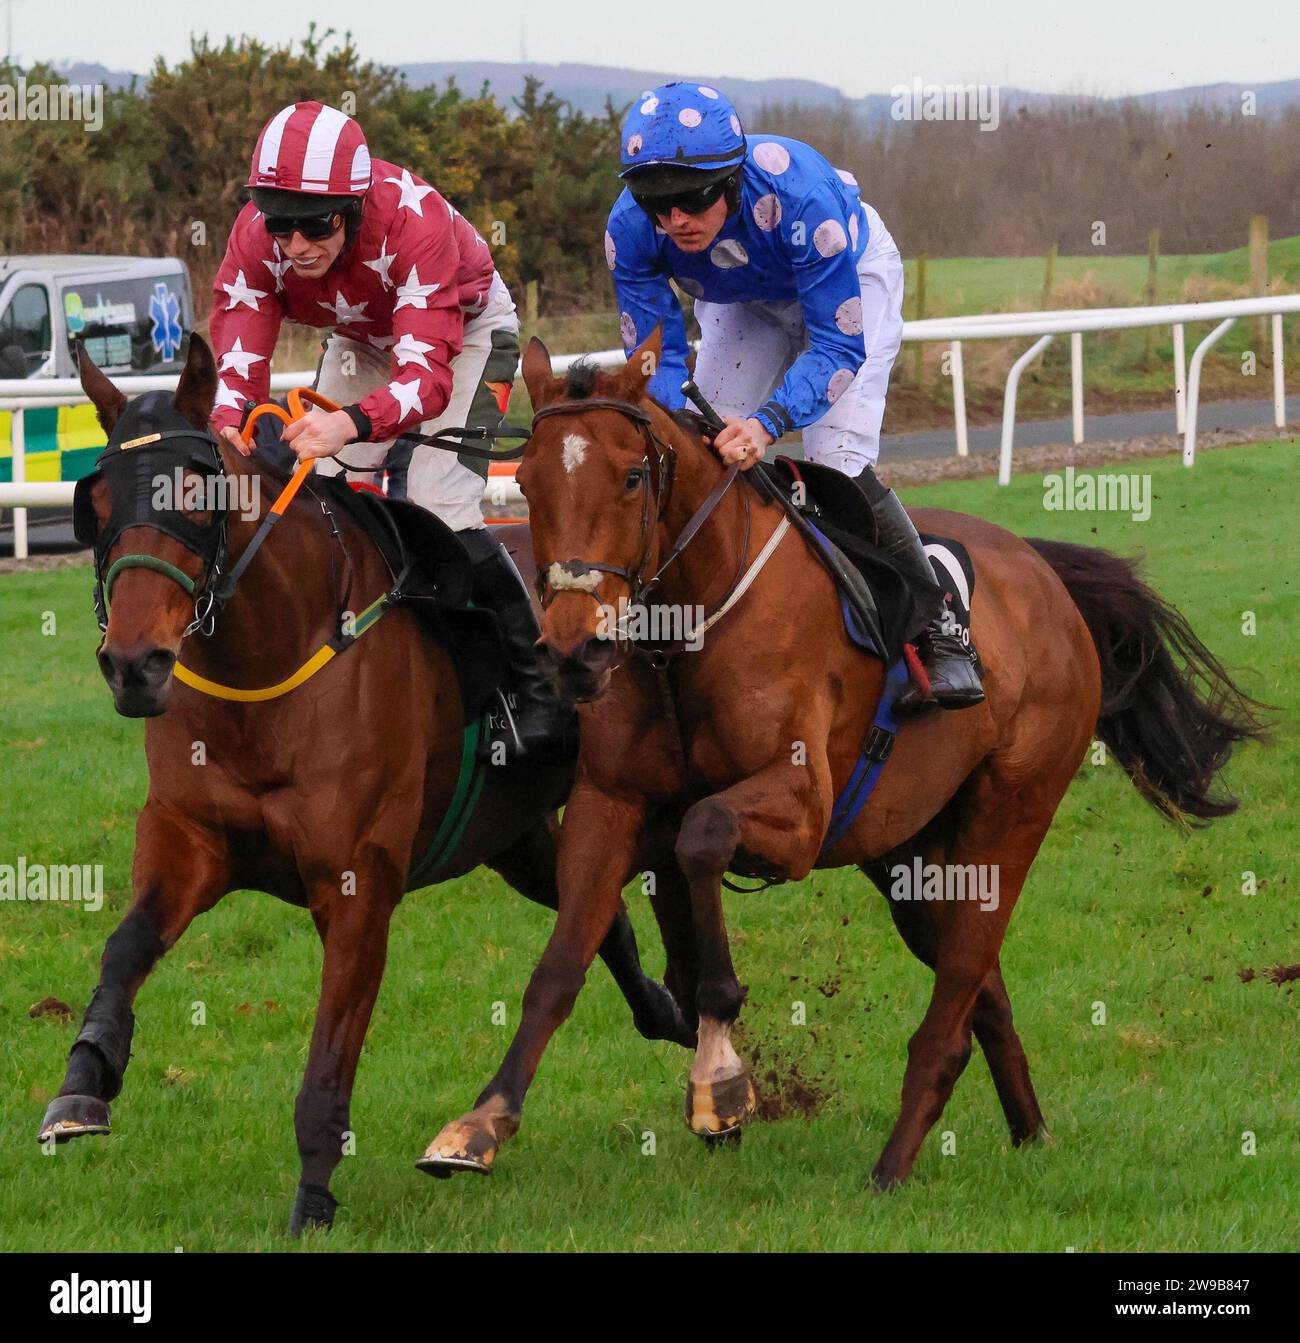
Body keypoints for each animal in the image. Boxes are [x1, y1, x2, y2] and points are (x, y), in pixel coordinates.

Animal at [38, 333, 692, 1230]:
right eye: (97, 497)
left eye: (196, 491)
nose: (133, 664)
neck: (268, 672)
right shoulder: (188, 838)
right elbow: (125, 945)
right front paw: (82, 1084)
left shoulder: (357, 886)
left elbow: (329, 1053)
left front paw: (313, 1195)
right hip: (511, 830)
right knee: (596, 913)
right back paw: (664, 1010)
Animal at [421, 330, 1262, 1192]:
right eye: (525, 481)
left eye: (629, 476)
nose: (572, 652)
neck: (690, 623)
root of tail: (1041, 569)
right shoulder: (610, 802)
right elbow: (559, 967)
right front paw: (479, 1125)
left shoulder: (800, 810)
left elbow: (702, 834)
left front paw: (719, 1075)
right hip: (909, 853)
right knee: (980, 989)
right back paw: (1030, 1131)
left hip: (1010, 815)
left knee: (957, 991)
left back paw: (892, 1165)